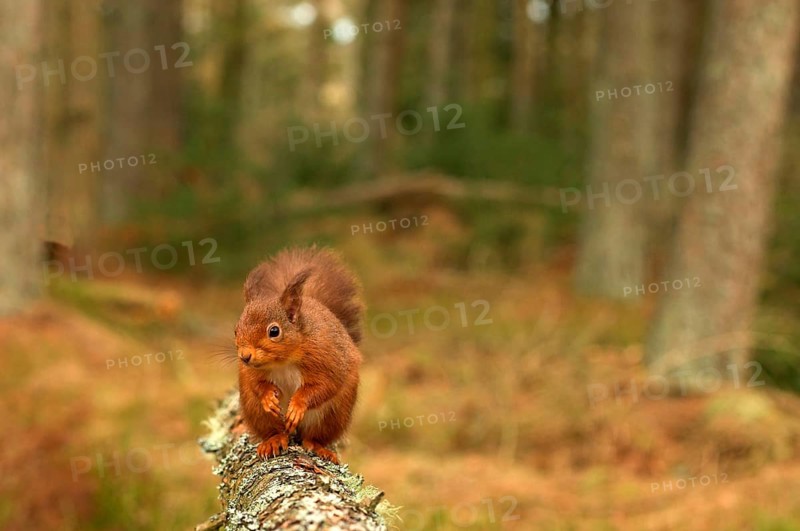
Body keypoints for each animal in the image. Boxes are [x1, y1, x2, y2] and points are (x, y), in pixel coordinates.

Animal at [234, 247, 364, 463]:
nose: (245, 356)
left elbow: (324, 385)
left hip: (333, 415)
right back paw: (273, 440)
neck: (283, 362)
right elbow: (256, 384)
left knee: (313, 437)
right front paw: (268, 397)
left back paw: (318, 447)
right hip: (256, 412)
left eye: (274, 331)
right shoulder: (251, 372)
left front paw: (297, 405)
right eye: (236, 330)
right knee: (276, 431)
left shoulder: (326, 358)